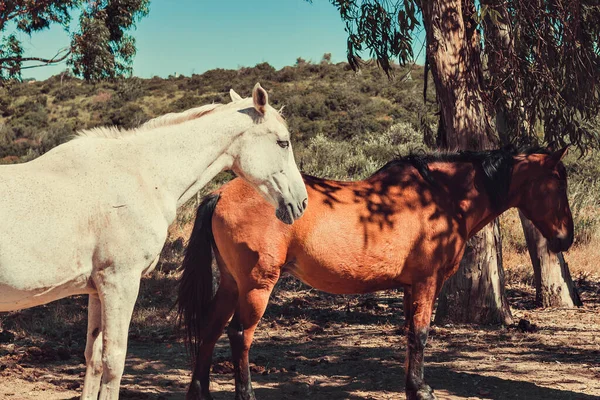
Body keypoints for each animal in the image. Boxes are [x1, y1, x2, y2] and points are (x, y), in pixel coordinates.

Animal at [0, 83, 310, 398]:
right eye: (283, 143)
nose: (301, 203)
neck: (142, 175)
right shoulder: (119, 282)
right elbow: (113, 361)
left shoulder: (97, 290)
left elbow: (94, 359)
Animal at [177, 146, 572, 400]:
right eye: (557, 181)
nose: (565, 238)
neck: (440, 197)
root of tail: (221, 192)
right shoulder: (428, 282)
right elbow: (422, 334)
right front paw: (422, 390)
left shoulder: (411, 287)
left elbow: (412, 334)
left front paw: (414, 386)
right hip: (256, 286)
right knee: (239, 335)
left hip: (232, 285)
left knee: (211, 329)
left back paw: (199, 392)